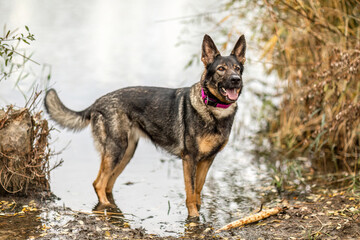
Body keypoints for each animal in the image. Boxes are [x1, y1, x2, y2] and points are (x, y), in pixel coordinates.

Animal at [44, 33, 245, 218]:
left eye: (237, 68)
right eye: (221, 69)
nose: (236, 79)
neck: (213, 108)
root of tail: (97, 102)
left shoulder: (207, 160)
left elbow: (198, 190)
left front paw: (198, 211)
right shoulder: (189, 159)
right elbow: (190, 191)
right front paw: (194, 217)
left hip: (126, 153)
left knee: (107, 183)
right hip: (117, 150)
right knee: (98, 183)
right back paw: (107, 207)